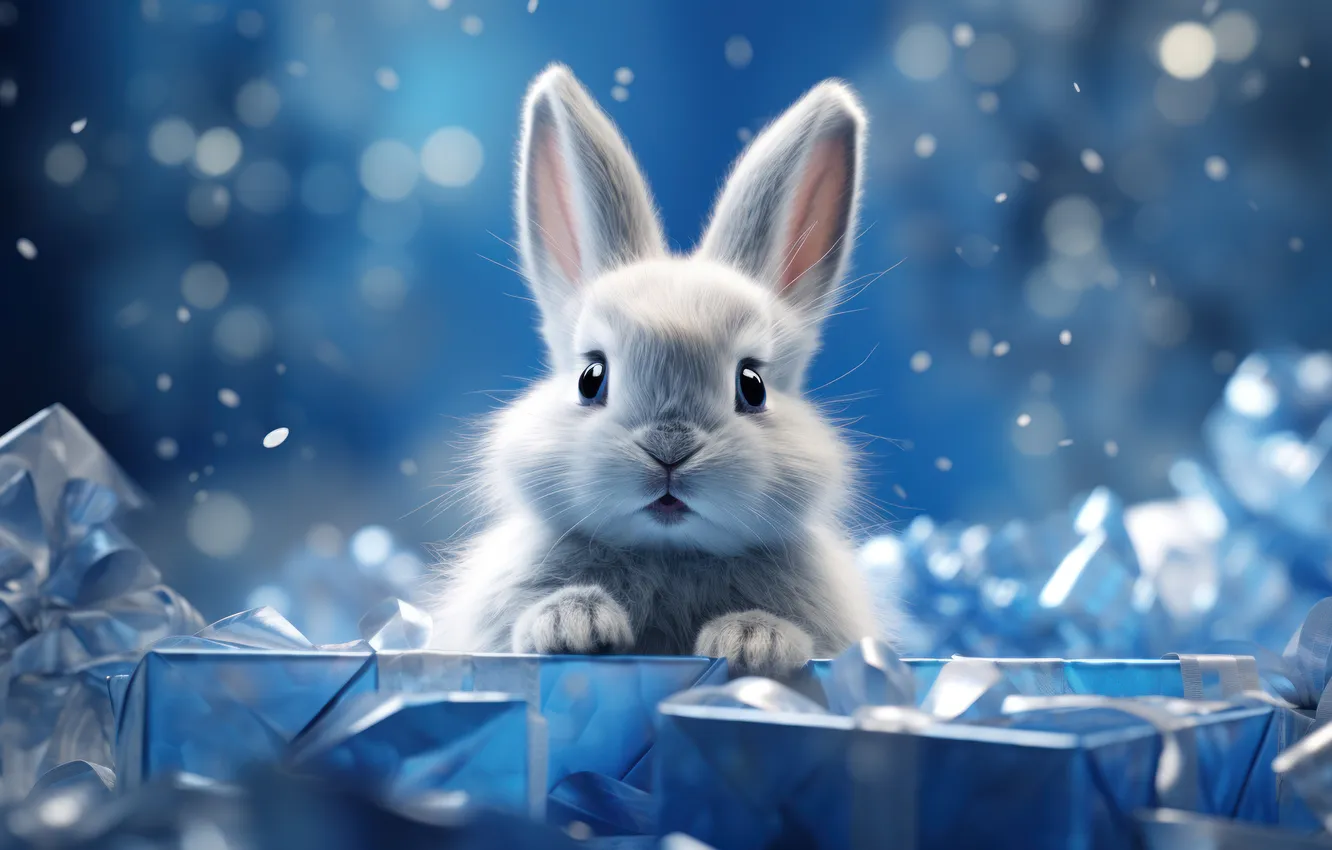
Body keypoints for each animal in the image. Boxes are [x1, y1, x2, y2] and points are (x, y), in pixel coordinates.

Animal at [426, 63, 901, 677]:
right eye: (591, 379)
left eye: (753, 385)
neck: (669, 552)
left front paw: (753, 640)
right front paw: (574, 623)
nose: (669, 447)